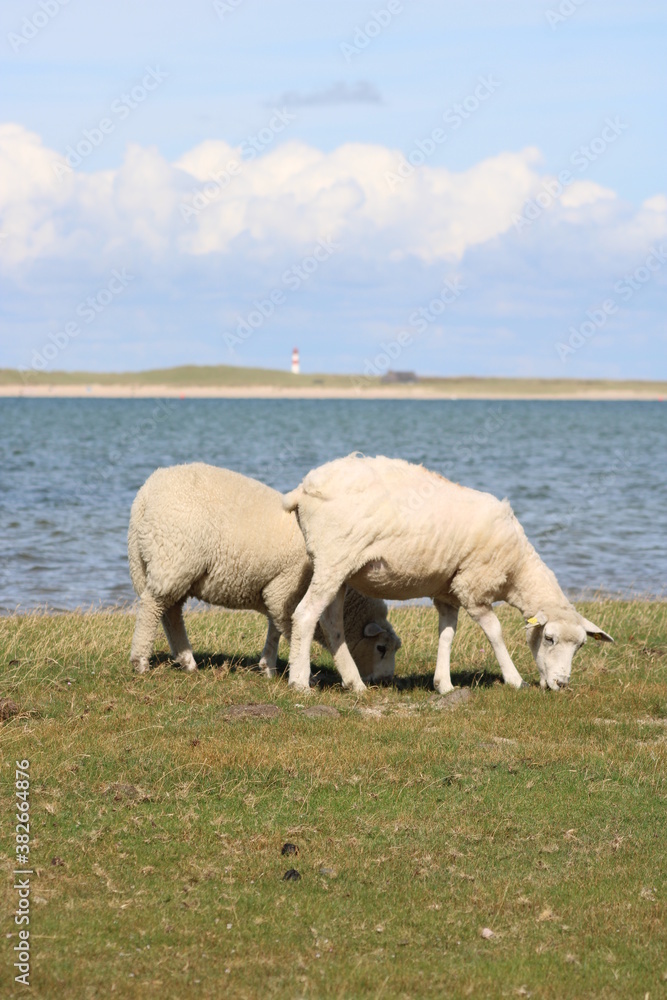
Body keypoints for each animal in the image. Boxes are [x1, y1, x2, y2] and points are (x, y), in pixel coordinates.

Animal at [127, 462, 400, 682]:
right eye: (381, 648)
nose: (385, 681)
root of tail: (146, 494)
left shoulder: (275, 590)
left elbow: (275, 628)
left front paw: (267, 666)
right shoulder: (286, 588)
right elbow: (290, 629)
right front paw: (301, 672)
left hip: (163, 565)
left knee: (170, 612)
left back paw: (187, 662)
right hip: (174, 559)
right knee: (152, 607)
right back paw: (141, 662)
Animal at [283, 454, 613, 694]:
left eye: (581, 646)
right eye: (549, 639)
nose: (561, 684)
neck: (516, 569)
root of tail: (302, 490)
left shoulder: (448, 593)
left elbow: (447, 635)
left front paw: (444, 685)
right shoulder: (472, 587)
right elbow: (495, 632)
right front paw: (514, 679)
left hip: (338, 570)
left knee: (331, 623)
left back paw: (354, 683)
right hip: (332, 560)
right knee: (305, 614)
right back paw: (299, 682)